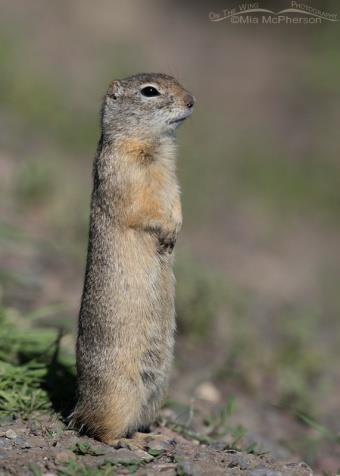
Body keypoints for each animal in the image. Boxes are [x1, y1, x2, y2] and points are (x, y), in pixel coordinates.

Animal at [71, 72, 194, 444]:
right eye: (149, 91)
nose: (192, 101)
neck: (153, 148)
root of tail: (78, 406)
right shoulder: (124, 172)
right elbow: (142, 208)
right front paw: (167, 232)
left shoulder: (173, 180)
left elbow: (176, 201)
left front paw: (176, 230)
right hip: (118, 394)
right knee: (100, 430)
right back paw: (129, 443)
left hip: (155, 390)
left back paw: (148, 436)